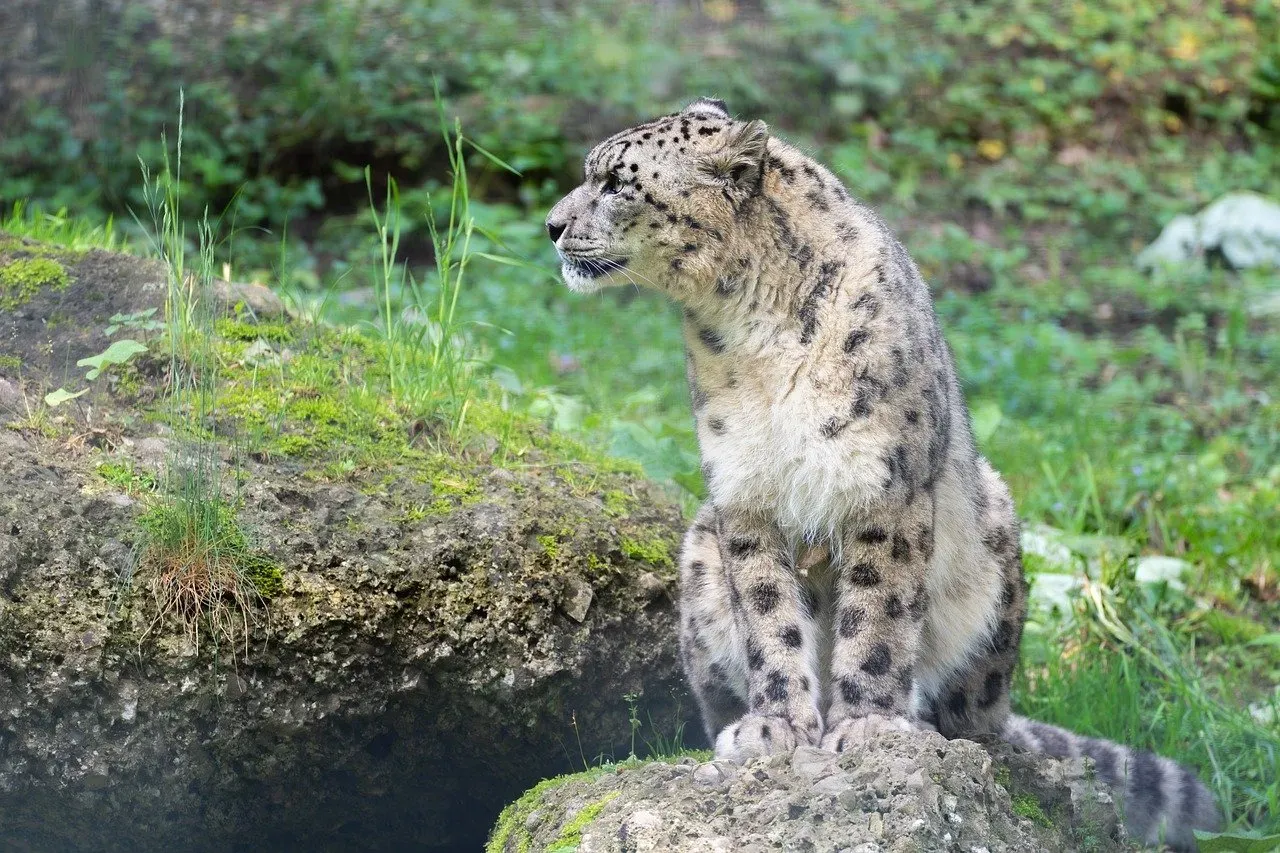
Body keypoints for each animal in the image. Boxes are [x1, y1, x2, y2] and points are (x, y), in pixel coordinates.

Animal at [545, 97, 1222, 850]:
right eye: (592, 174)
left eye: (616, 183)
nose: (552, 225)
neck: (752, 332)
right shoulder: (745, 494)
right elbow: (769, 618)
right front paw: (774, 727)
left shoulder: (883, 489)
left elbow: (876, 616)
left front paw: (867, 727)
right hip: (698, 550)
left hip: (992, 551)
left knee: (979, 714)